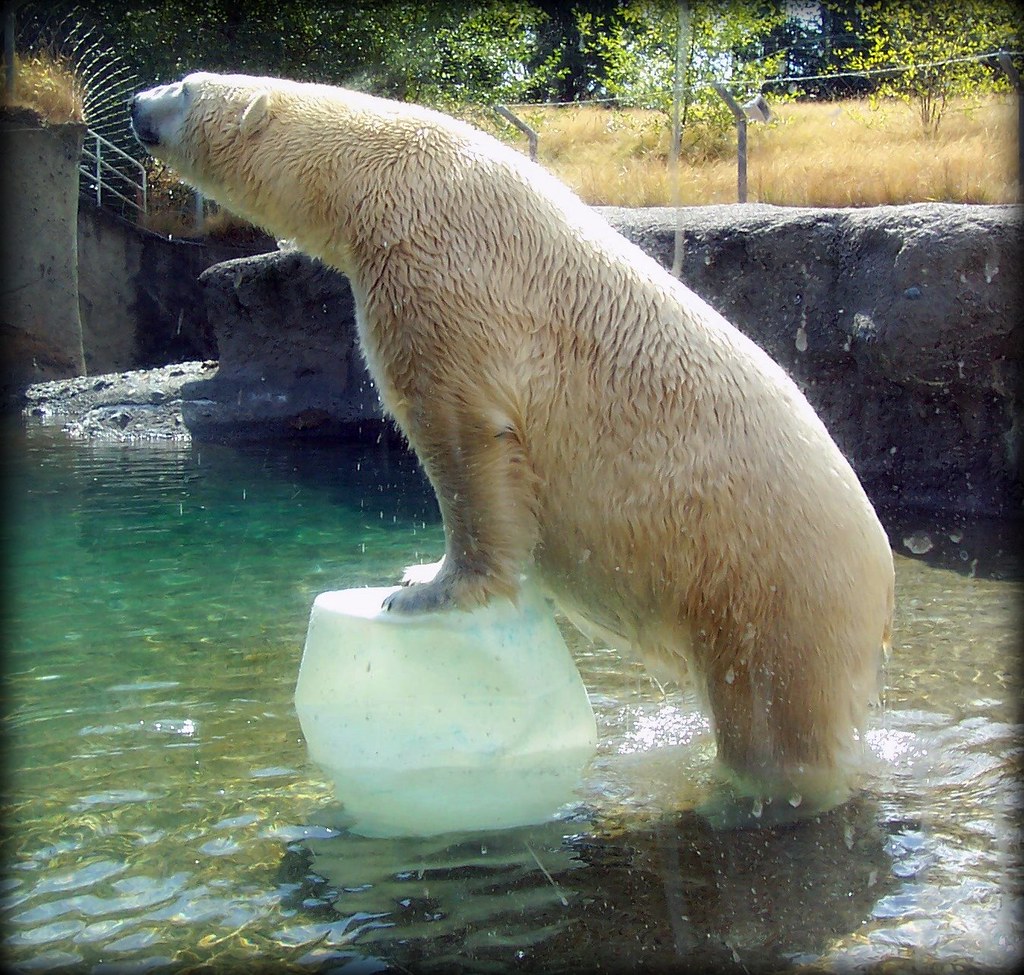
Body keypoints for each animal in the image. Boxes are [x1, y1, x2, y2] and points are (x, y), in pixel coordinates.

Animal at [131, 72, 895, 825]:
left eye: (187, 87)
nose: (138, 103)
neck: (377, 174)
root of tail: (881, 588)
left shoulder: (440, 275)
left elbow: (461, 432)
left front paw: (427, 591)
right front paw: (416, 572)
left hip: (775, 580)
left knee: (777, 716)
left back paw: (746, 796)